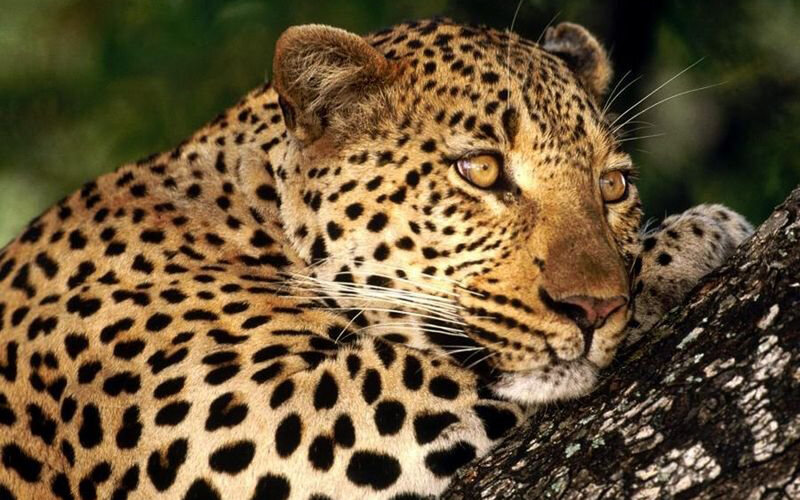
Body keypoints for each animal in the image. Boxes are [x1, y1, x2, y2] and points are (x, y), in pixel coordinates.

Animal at [0, 18, 753, 500]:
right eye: (480, 170)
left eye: (613, 185)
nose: (595, 309)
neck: (245, 208)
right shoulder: (260, 420)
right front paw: (699, 235)